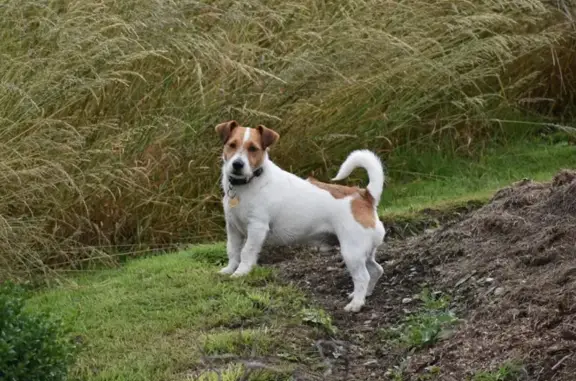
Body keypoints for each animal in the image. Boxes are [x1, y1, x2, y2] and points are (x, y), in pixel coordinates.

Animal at [216, 119, 388, 312]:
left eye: (253, 148)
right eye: (232, 145)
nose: (237, 164)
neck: (249, 184)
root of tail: (365, 196)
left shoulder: (256, 228)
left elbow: (246, 252)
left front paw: (241, 272)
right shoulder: (232, 228)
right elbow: (233, 250)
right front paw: (229, 269)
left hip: (352, 252)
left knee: (363, 277)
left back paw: (356, 303)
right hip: (364, 252)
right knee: (376, 270)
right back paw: (365, 294)